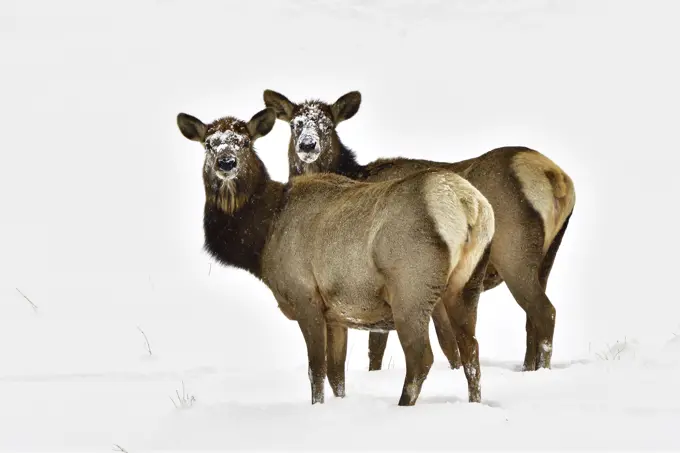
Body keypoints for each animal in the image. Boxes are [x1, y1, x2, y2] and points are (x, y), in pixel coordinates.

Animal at [175, 107, 494, 404]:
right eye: (209, 143)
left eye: (244, 142)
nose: (226, 163)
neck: (263, 238)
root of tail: (469, 206)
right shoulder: (337, 315)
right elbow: (336, 374)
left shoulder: (305, 296)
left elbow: (315, 371)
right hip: (466, 285)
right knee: (472, 351)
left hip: (411, 287)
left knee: (421, 357)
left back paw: (402, 405)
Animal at [262, 88, 576, 370]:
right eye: (295, 124)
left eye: (327, 125)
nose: (307, 146)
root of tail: (556, 178)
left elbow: (386, 349)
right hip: (548, 256)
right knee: (531, 321)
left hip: (514, 253)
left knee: (544, 311)